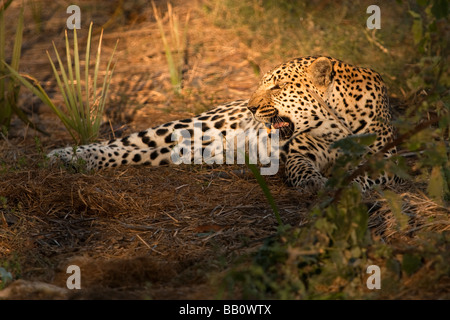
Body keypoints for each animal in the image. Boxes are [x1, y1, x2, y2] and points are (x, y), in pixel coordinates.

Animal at [46, 56, 398, 194]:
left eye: (277, 87)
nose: (250, 108)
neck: (336, 123)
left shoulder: (386, 163)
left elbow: (365, 176)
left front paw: (346, 184)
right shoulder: (301, 153)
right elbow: (302, 169)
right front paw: (314, 183)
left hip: (192, 150)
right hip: (190, 127)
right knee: (123, 142)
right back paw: (66, 156)